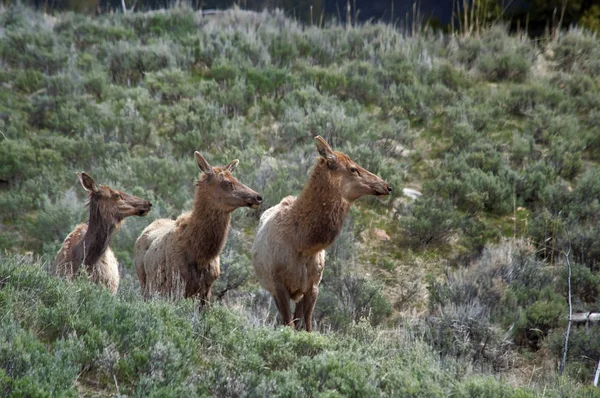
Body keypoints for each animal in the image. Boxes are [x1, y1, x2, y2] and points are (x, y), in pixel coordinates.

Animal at [135, 151, 262, 304]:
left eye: (235, 178)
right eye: (227, 182)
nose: (258, 197)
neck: (201, 254)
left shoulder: (206, 290)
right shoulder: (175, 287)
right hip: (145, 282)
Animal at [251, 135, 392, 332]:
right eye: (353, 168)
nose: (386, 186)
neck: (303, 245)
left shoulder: (313, 286)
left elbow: (308, 326)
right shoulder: (279, 286)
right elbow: (289, 324)